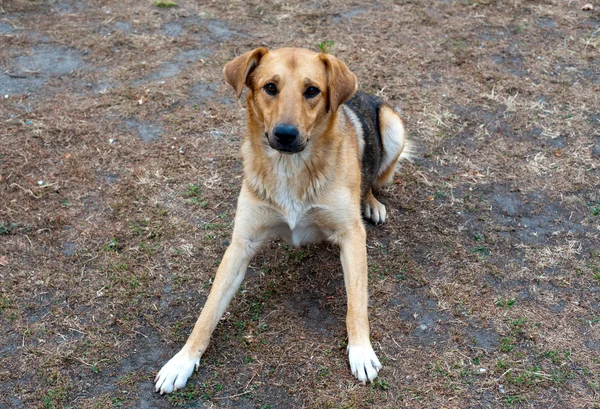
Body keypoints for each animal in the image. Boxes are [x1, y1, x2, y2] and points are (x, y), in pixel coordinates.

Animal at [154, 47, 412, 392]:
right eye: (270, 87)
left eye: (312, 90)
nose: (285, 135)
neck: (290, 167)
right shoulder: (241, 244)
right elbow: (208, 311)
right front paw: (182, 361)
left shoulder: (352, 236)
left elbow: (357, 303)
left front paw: (361, 351)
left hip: (392, 127)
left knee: (372, 178)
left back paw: (371, 203)